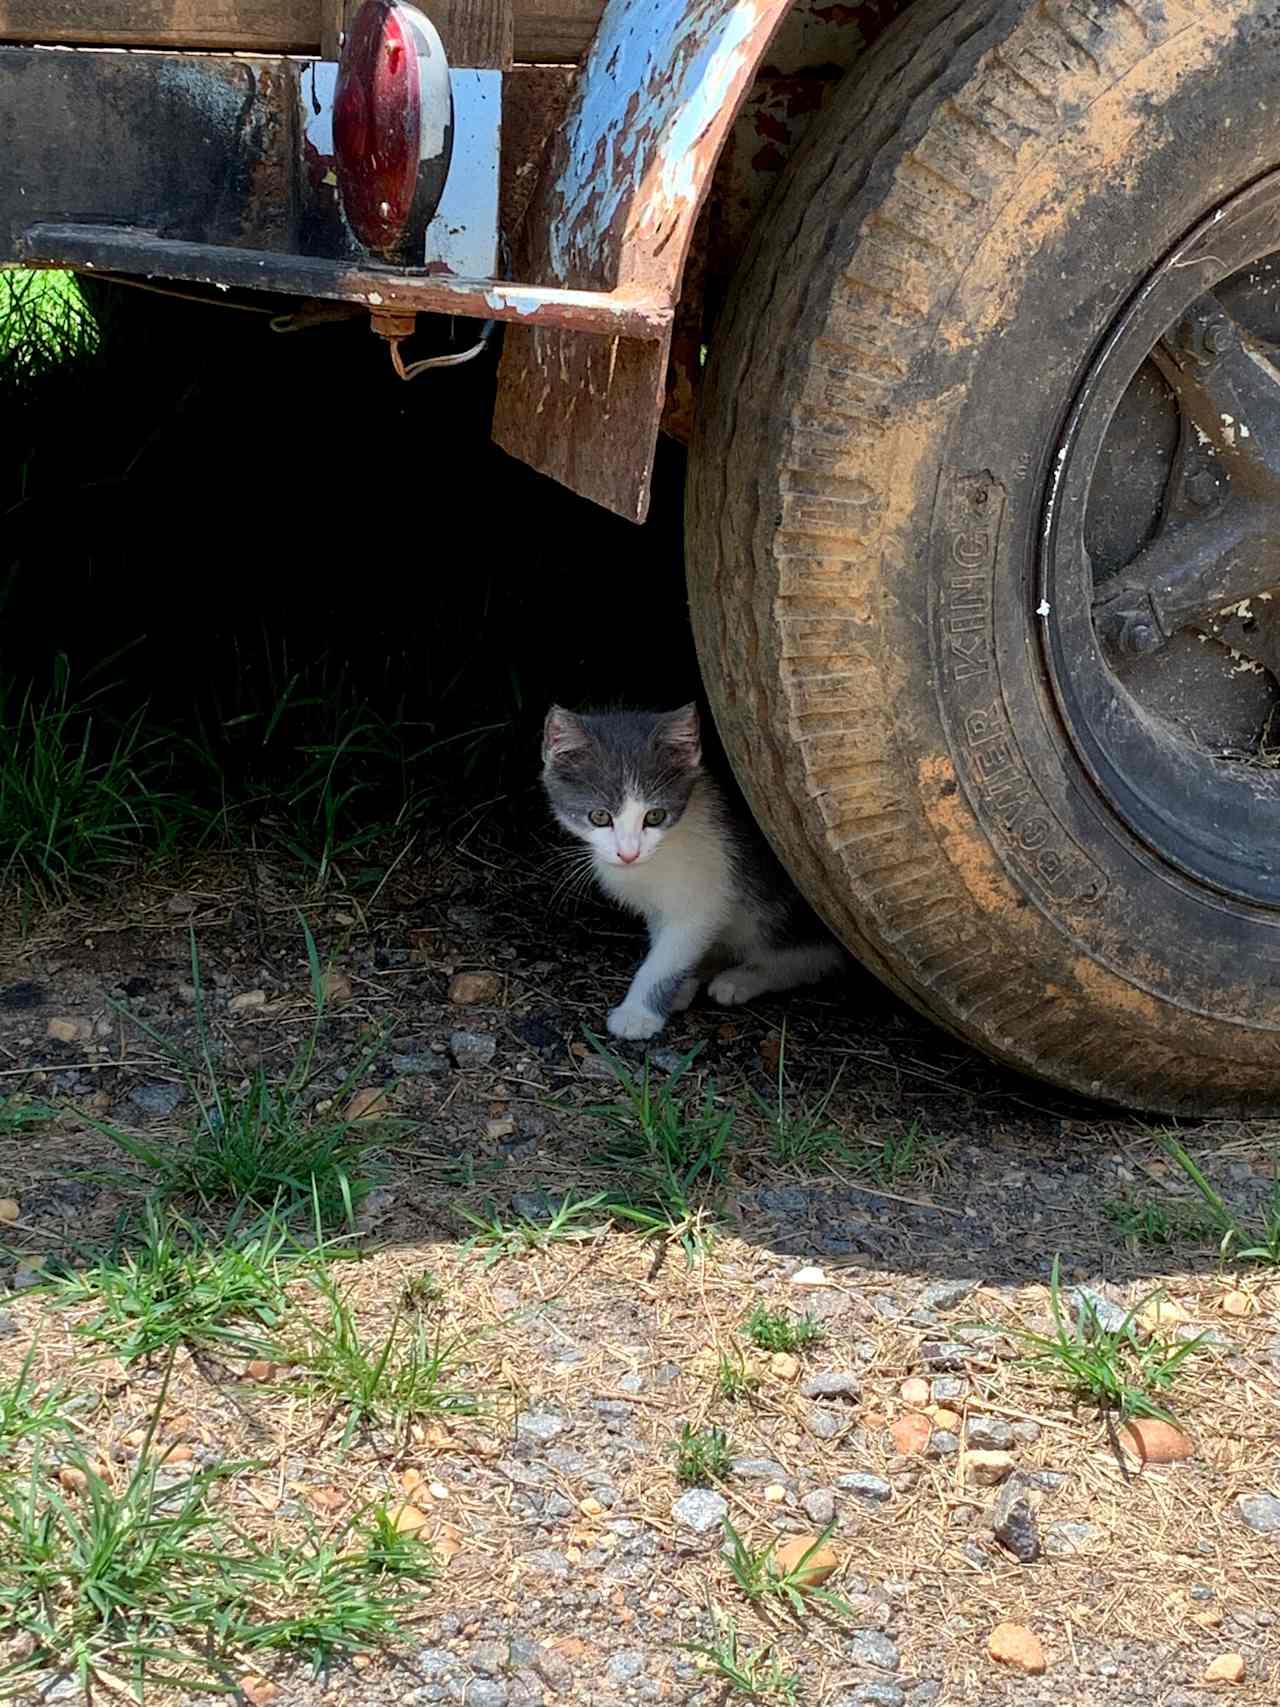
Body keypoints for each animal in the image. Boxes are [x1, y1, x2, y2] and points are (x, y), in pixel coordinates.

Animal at [539, 703, 843, 1037]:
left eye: (655, 816)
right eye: (599, 816)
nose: (629, 853)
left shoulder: (704, 897)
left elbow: (667, 956)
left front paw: (638, 1013)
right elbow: (668, 944)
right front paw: (680, 984)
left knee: (809, 957)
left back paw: (740, 979)